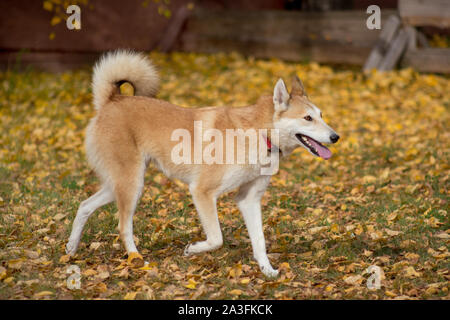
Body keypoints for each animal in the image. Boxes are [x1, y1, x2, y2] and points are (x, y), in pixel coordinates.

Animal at [67, 50, 340, 278]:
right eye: (307, 118)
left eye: (322, 115)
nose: (336, 137)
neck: (259, 132)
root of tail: (111, 100)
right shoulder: (202, 192)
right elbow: (216, 238)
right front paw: (193, 249)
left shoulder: (249, 199)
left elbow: (259, 241)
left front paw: (267, 270)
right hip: (132, 185)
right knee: (123, 226)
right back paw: (137, 259)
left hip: (120, 185)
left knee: (84, 206)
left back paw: (70, 249)